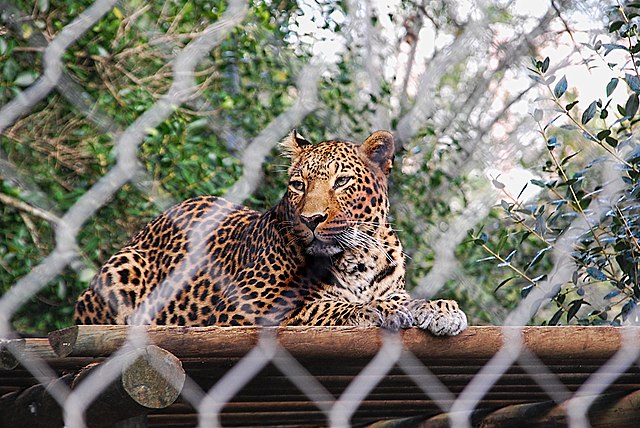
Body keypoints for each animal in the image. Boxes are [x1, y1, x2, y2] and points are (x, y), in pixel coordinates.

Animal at [75, 129, 468, 336]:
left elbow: (408, 299)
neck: (358, 258)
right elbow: (320, 307)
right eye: (298, 184)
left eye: (342, 181)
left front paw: (443, 308)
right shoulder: (245, 309)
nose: (311, 219)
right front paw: (376, 309)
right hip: (124, 267)